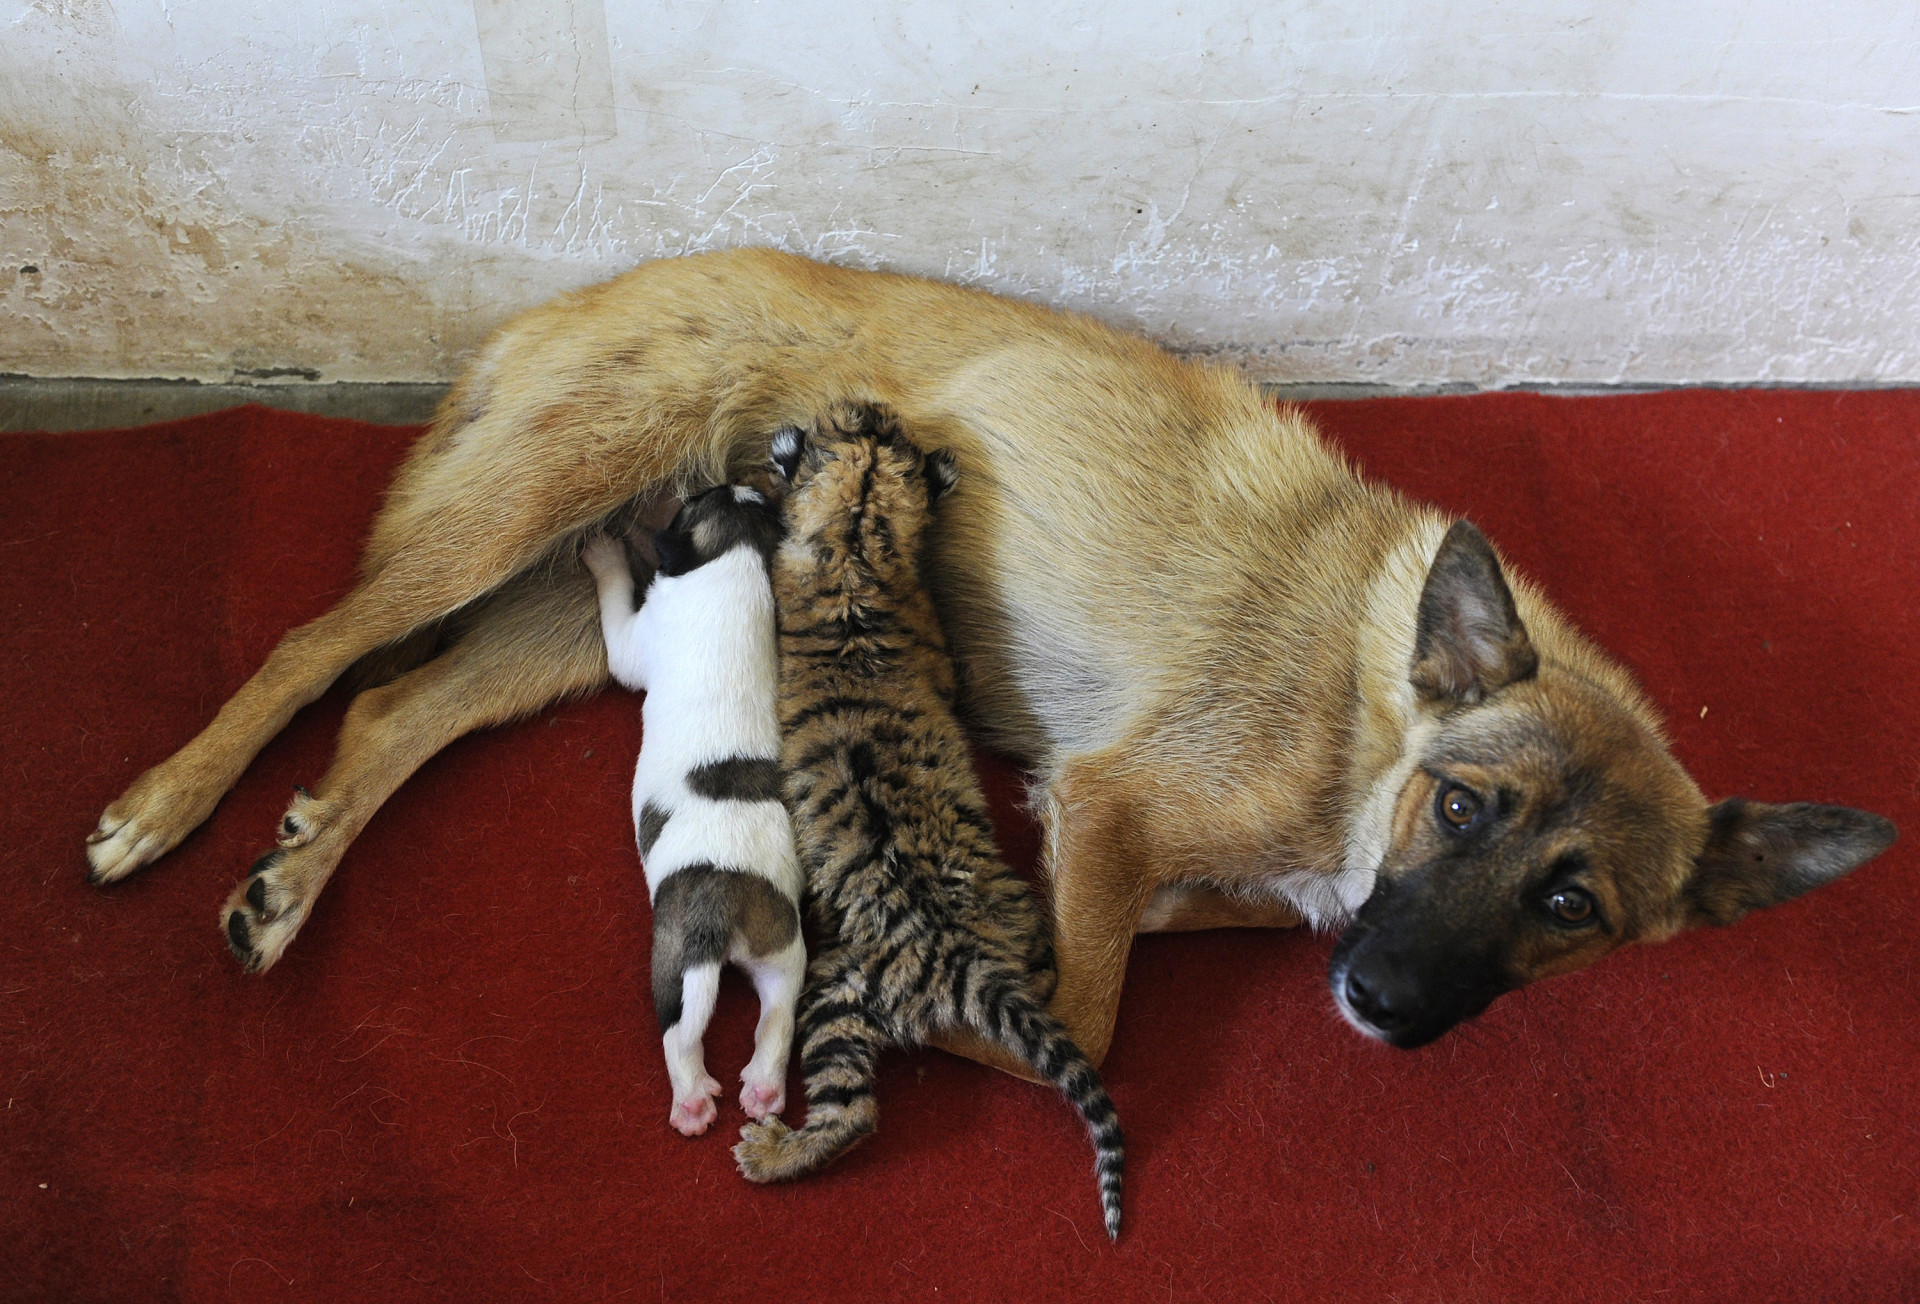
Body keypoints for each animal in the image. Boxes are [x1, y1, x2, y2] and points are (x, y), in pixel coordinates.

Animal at [82, 247, 1896, 1067]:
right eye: (1464, 811)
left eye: (1575, 906)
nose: (1381, 1005)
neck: (1370, 712)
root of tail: (602, 285)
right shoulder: (1112, 811)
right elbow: (1081, 1007)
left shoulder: (1203, 875)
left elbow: (1139, 934)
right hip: (513, 517)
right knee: (318, 646)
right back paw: (163, 807)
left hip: (601, 620)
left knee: (400, 706)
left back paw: (288, 878)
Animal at [576, 483, 802, 1136]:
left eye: (696, 498)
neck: (737, 567)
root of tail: (730, 889)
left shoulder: (637, 637)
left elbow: (617, 612)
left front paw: (607, 556)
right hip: (783, 947)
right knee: (779, 1013)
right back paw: (764, 1089)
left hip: (678, 955)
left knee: (681, 1030)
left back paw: (693, 1098)